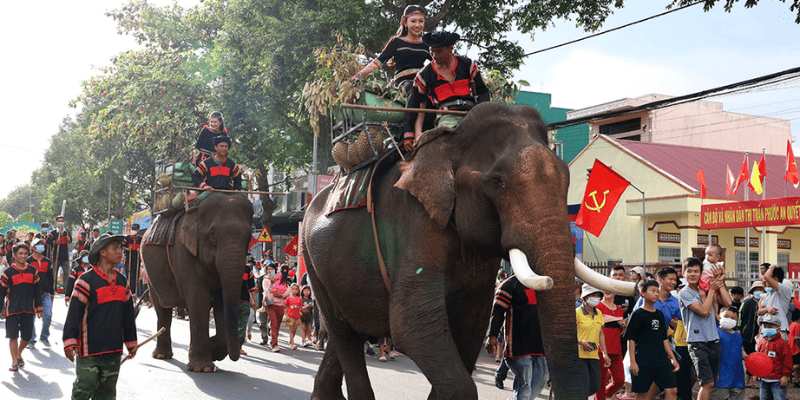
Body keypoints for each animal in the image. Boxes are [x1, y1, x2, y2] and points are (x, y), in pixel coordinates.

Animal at [139, 192, 253, 374]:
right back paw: (161, 356)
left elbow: (221, 302)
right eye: (212, 234)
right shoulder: (183, 252)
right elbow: (199, 300)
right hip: (150, 274)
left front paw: (213, 351)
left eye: (249, 236)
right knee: (162, 308)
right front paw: (202, 368)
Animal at [302, 103, 636, 400]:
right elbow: (412, 324)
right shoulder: (414, 224)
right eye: (497, 182)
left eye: (567, 178)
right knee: (343, 335)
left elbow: (471, 327)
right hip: (312, 262)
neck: (450, 141)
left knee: (346, 336)